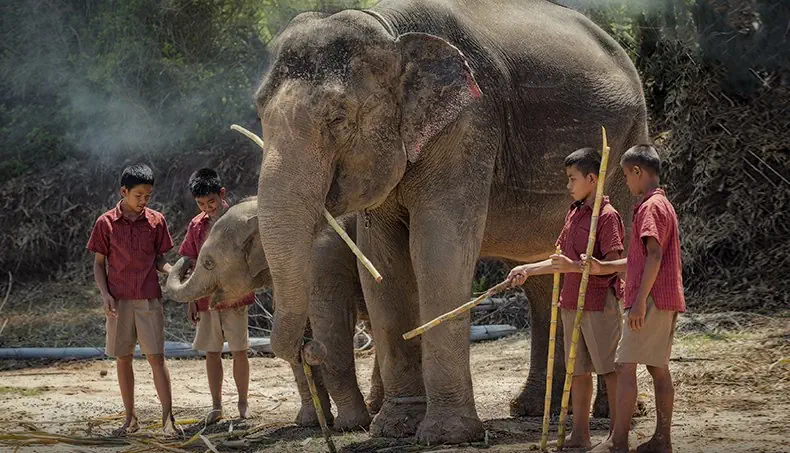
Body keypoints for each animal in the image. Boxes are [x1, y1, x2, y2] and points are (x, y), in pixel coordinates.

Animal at [166, 198, 383, 430]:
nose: (186, 261)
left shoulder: (323, 257)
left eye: (208, 263)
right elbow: (297, 326)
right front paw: (308, 422)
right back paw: (374, 406)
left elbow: (331, 319)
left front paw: (350, 424)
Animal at [253, 0, 648, 444]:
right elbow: (383, 264)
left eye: (338, 118)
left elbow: (437, 251)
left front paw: (447, 435)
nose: (310, 348)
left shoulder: (468, 125)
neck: (391, 32)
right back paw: (531, 409)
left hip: (627, 142)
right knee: (541, 271)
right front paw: (396, 428)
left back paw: (613, 412)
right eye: (259, 110)